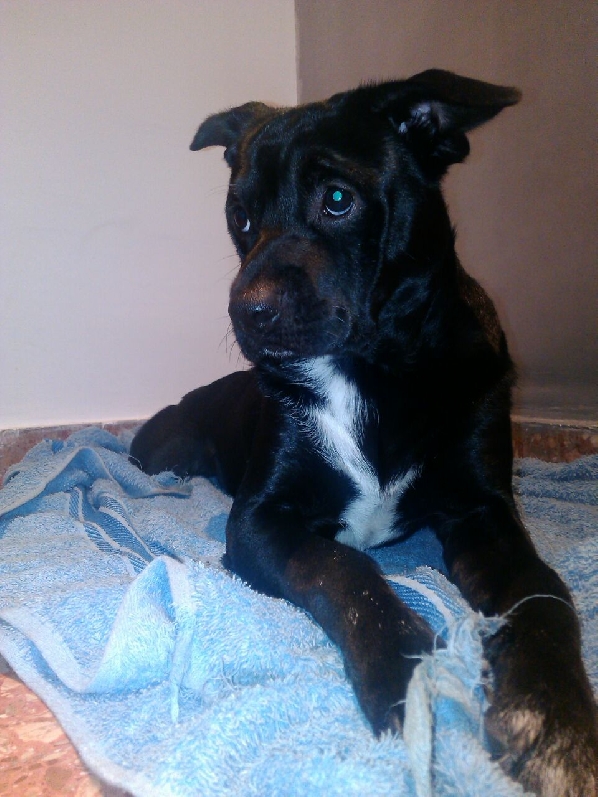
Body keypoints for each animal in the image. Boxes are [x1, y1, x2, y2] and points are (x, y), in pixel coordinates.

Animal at [131, 70, 598, 796]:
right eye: (241, 217)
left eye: (337, 199)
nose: (245, 311)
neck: (373, 369)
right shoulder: (260, 518)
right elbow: (345, 569)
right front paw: (406, 671)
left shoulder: (484, 511)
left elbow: (542, 595)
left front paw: (555, 726)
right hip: (160, 445)